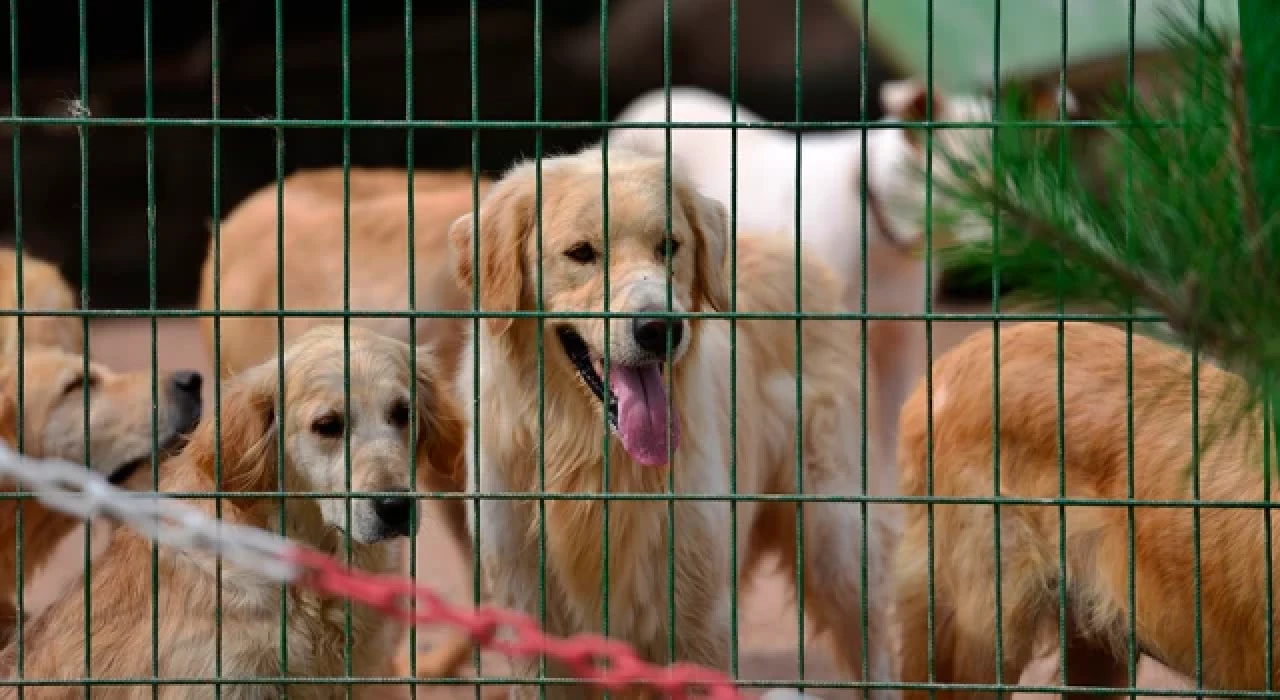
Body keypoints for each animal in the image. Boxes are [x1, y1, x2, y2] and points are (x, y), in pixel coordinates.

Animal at [450, 145, 901, 696]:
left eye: (669, 246)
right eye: (580, 253)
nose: (658, 328)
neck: (593, 460)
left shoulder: (697, 622)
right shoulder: (536, 625)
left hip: (835, 541)